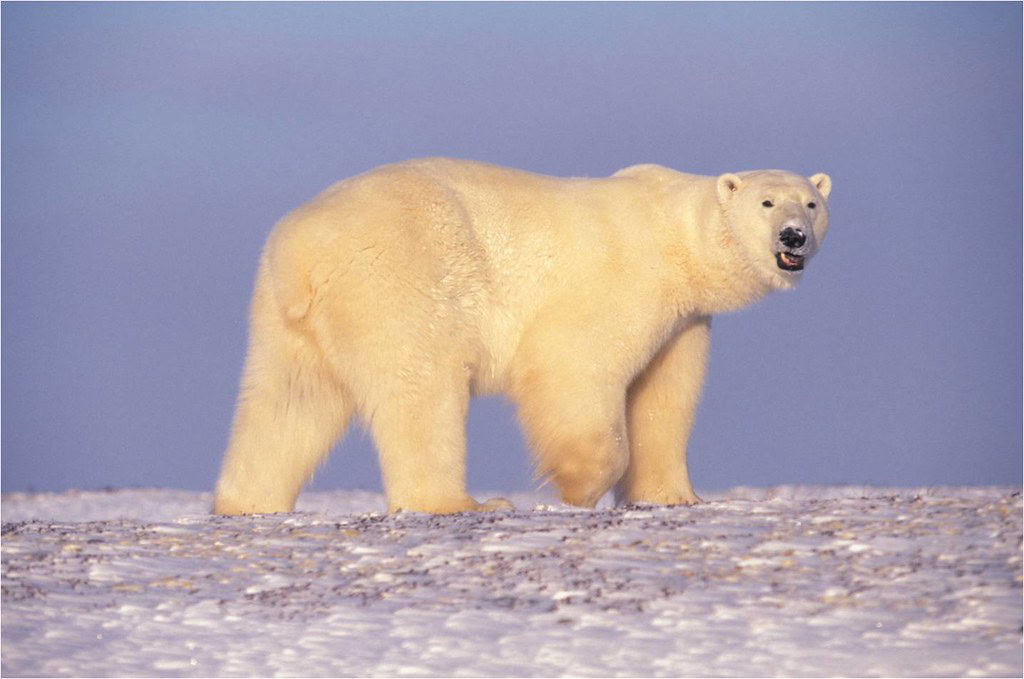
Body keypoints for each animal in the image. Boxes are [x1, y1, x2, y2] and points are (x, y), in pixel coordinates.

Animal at [213, 158, 831, 515]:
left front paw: (673, 494)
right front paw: (576, 486)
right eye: (767, 202)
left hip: (285, 318)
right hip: (398, 275)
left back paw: (247, 503)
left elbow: (663, 397)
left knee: (287, 404)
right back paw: (461, 503)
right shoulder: (621, 279)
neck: (675, 236)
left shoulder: (683, 319)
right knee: (423, 388)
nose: (793, 237)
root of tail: (302, 250)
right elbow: (574, 365)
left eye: (812, 202)